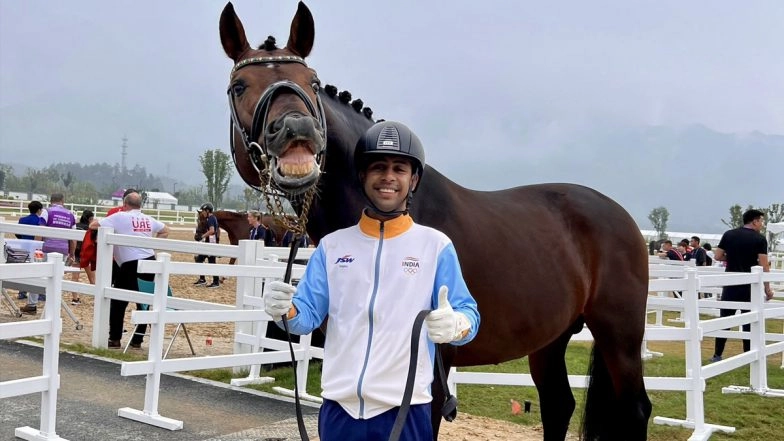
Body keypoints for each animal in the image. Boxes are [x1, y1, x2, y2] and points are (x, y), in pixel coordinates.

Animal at [219, 3, 652, 439]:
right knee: (559, 403)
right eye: (238, 86)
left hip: (619, 335)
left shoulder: (430, 383)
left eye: (312, 82)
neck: (390, 221)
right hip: (551, 337)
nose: (297, 131)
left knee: (635, 409)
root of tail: (621, 216)